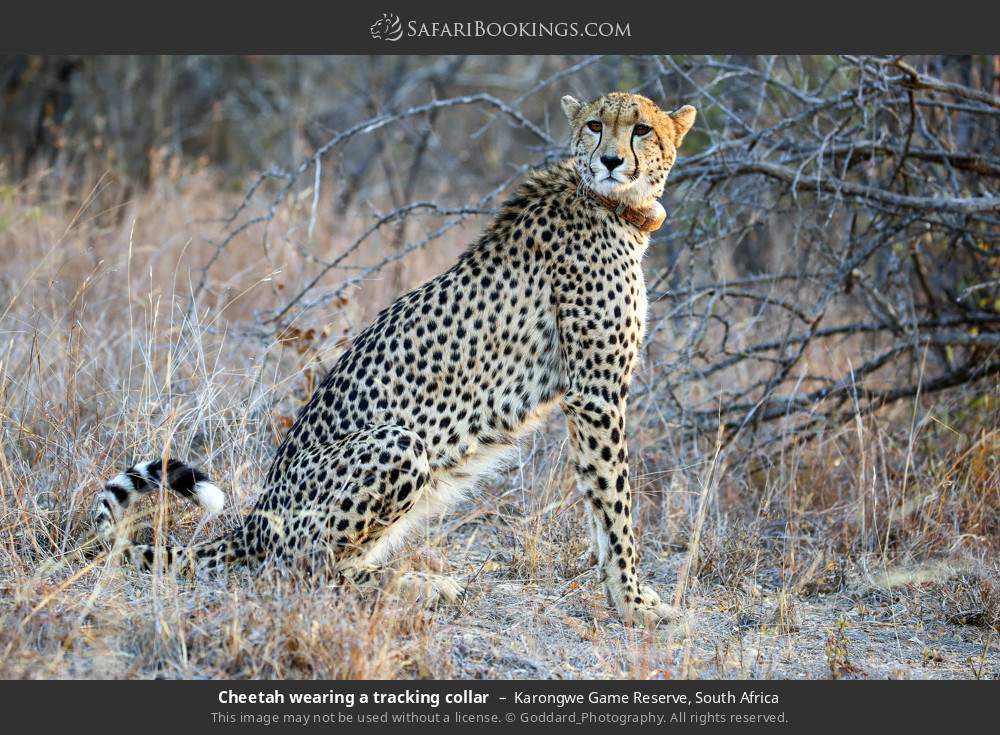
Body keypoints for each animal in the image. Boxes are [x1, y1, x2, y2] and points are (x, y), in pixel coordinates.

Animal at [93, 91, 697, 627]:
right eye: (596, 125)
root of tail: (253, 520)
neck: (612, 203)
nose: (611, 160)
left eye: (642, 129)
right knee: (294, 571)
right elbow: (615, 501)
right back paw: (413, 586)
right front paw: (634, 602)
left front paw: (627, 594)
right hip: (400, 443)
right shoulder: (595, 393)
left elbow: (599, 499)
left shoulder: (592, 395)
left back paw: (416, 581)